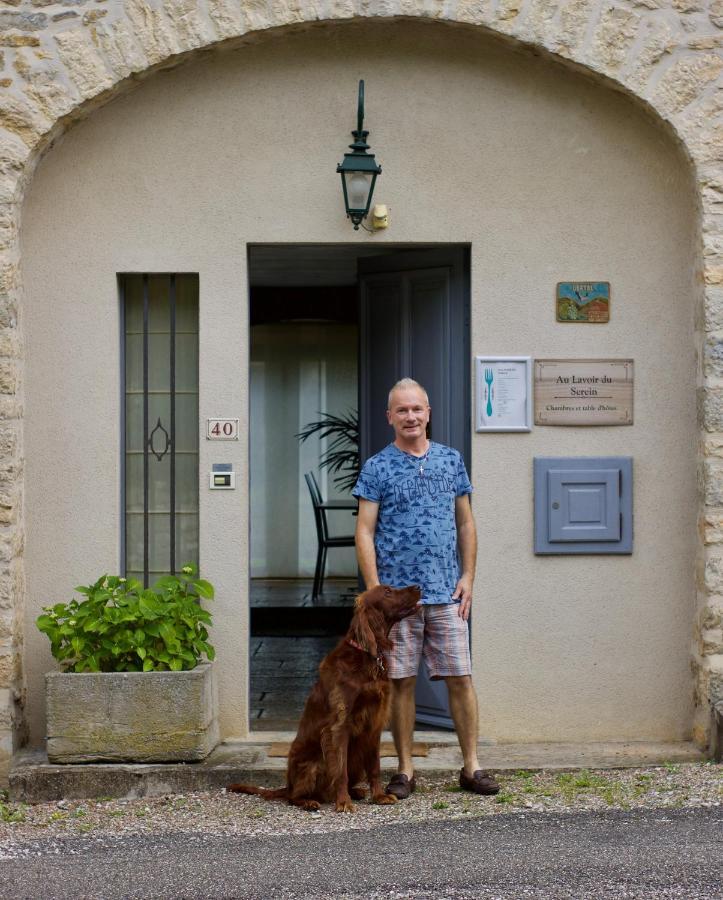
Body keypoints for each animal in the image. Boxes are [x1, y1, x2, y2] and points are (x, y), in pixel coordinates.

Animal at [229, 588, 422, 812]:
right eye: (388, 592)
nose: (418, 587)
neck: (365, 655)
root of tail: (288, 784)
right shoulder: (339, 726)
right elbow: (340, 771)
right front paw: (344, 803)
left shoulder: (374, 724)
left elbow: (375, 766)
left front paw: (379, 796)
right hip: (312, 763)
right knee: (293, 796)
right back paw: (309, 801)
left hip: (356, 757)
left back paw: (356, 791)